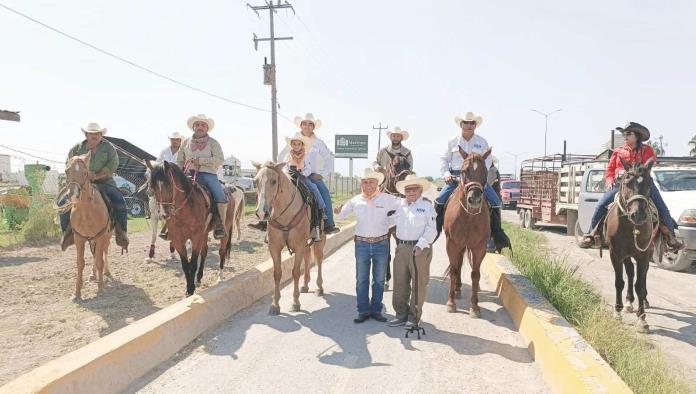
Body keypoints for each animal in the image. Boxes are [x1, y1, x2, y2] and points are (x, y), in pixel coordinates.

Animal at [146, 161, 237, 296]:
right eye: (153, 187)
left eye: (169, 184)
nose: (164, 214)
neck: (186, 209)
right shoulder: (178, 240)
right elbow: (185, 265)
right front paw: (189, 288)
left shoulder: (196, 237)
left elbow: (193, 263)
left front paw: (191, 289)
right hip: (204, 233)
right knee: (204, 252)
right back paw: (199, 278)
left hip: (224, 229)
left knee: (222, 251)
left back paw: (220, 277)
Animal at [254, 160, 328, 314]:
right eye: (256, 181)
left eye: (274, 181)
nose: (262, 213)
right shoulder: (274, 247)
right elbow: (277, 273)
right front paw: (275, 305)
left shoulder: (298, 246)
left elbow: (295, 272)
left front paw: (295, 302)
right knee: (307, 256)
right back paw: (305, 285)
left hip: (320, 239)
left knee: (318, 260)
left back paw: (319, 288)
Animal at [444, 147, 492, 318]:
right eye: (464, 171)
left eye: (485, 171)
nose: (475, 198)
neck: (468, 217)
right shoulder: (452, 244)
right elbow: (453, 270)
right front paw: (451, 303)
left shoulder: (480, 247)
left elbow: (475, 274)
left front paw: (475, 306)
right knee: (457, 264)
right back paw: (456, 289)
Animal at [604, 157, 656, 332]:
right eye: (627, 181)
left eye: (650, 183)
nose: (638, 215)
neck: (630, 226)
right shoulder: (615, 254)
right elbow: (619, 281)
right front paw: (618, 310)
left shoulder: (643, 255)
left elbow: (639, 284)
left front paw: (642, 319)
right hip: (626, 255)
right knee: (630, 273)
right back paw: (628, 302)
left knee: (642, 276)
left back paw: (644, 300)